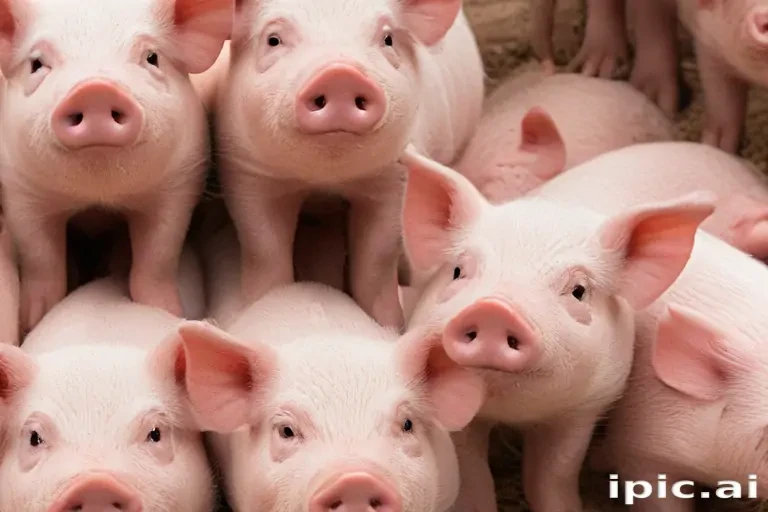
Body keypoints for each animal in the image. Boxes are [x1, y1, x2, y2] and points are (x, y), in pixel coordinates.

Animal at [0, 0, 232, 333]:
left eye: (152, 57)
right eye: (37, 63)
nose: (95, 90)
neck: (98, 199)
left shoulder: (177, 186)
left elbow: (158, 256)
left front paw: (167, 311)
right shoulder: (20, 189)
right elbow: (40, 258)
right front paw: (32, 322)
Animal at [208, 0, 485, 329]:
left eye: (388, 39)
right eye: (273, 39)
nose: (340, 74)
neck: (326, 181)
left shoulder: (394, 178)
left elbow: (376, 259)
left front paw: (389, 326)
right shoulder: (247, 172)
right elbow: (263, 247)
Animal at [398, 147, 715, 511]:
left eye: (578, 290)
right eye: (458, 271)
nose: (494, 309)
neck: (514, 412)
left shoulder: (586, 407)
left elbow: (553, 474)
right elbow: (474, 480)